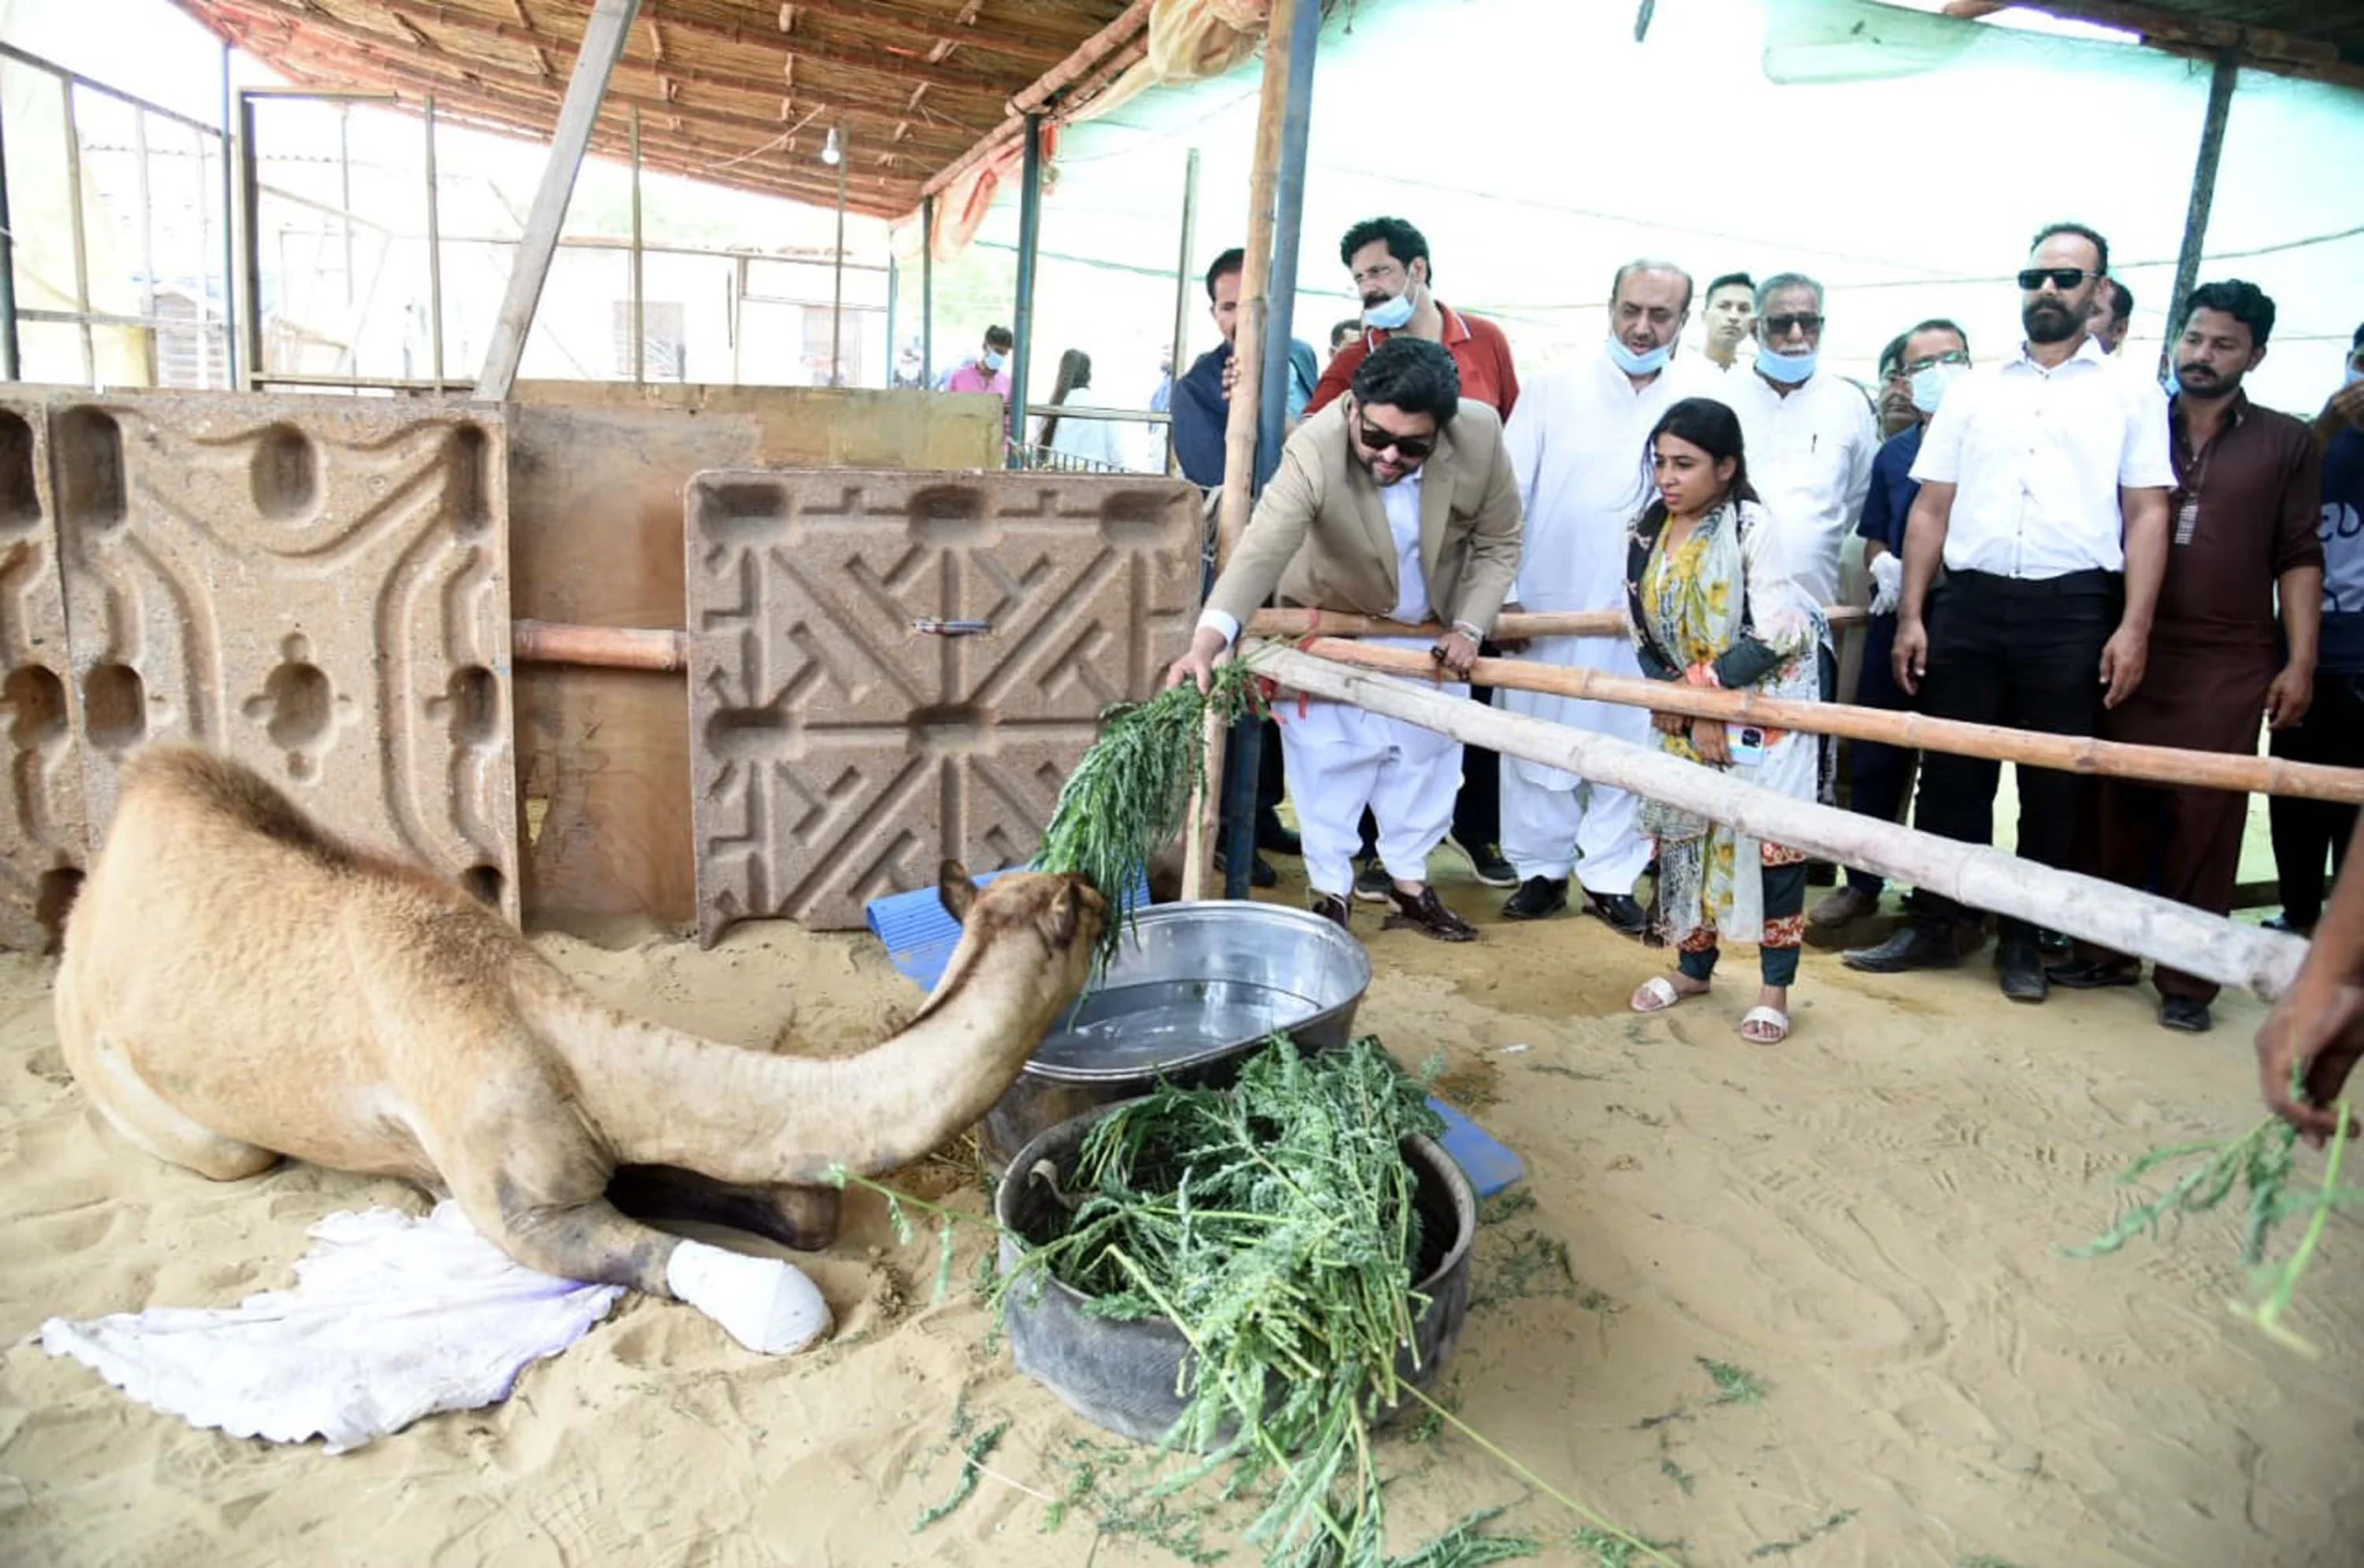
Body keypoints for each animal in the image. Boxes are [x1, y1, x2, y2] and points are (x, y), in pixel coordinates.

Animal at [55, 747, 1106, 1352]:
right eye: (1085, 905)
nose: (1098, 882)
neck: (540, 1025)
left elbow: (798, 1208)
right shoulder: (515, 1203)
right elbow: (756, 1284)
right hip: (141, 1086)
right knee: (228, 1148)